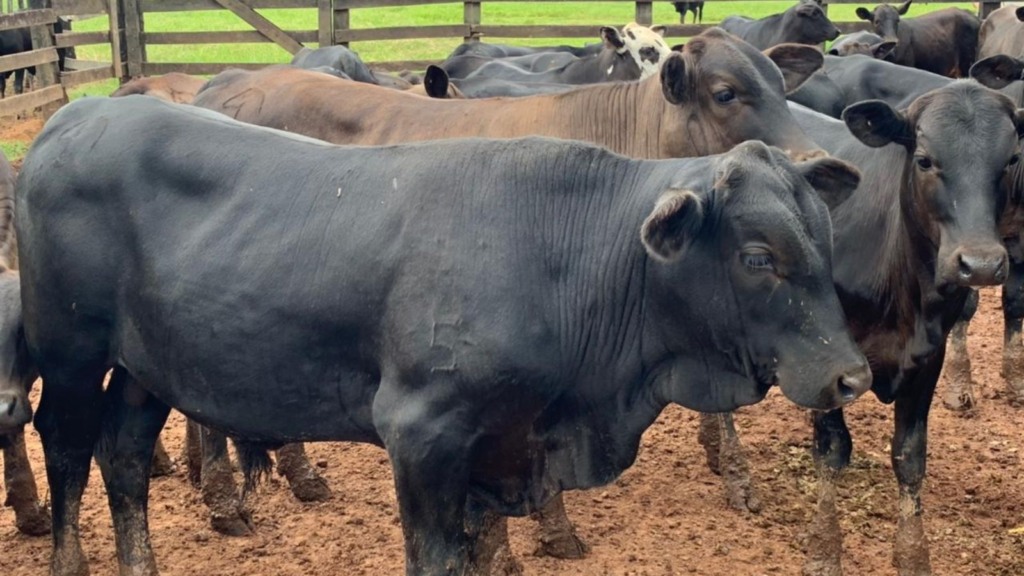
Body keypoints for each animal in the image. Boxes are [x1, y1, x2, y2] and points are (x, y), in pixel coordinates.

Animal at [19, 94, 868, 573]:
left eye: (828, 240)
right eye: (758, 256)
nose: (851, 376)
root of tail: (76, 114)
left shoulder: (496, 446)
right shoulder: (422, 434)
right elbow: (434, 559)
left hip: (145, 368)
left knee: (125, 459)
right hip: (70, 351)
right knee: (65, 448)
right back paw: (69, 562)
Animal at [704, 85, 1024, 573]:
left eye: (1010, 159)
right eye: (924, 159)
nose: (982, 263)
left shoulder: (929, 356)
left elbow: (910, 455)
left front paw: (912, 553)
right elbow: (832, 449)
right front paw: (824, 548)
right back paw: (737, 475)